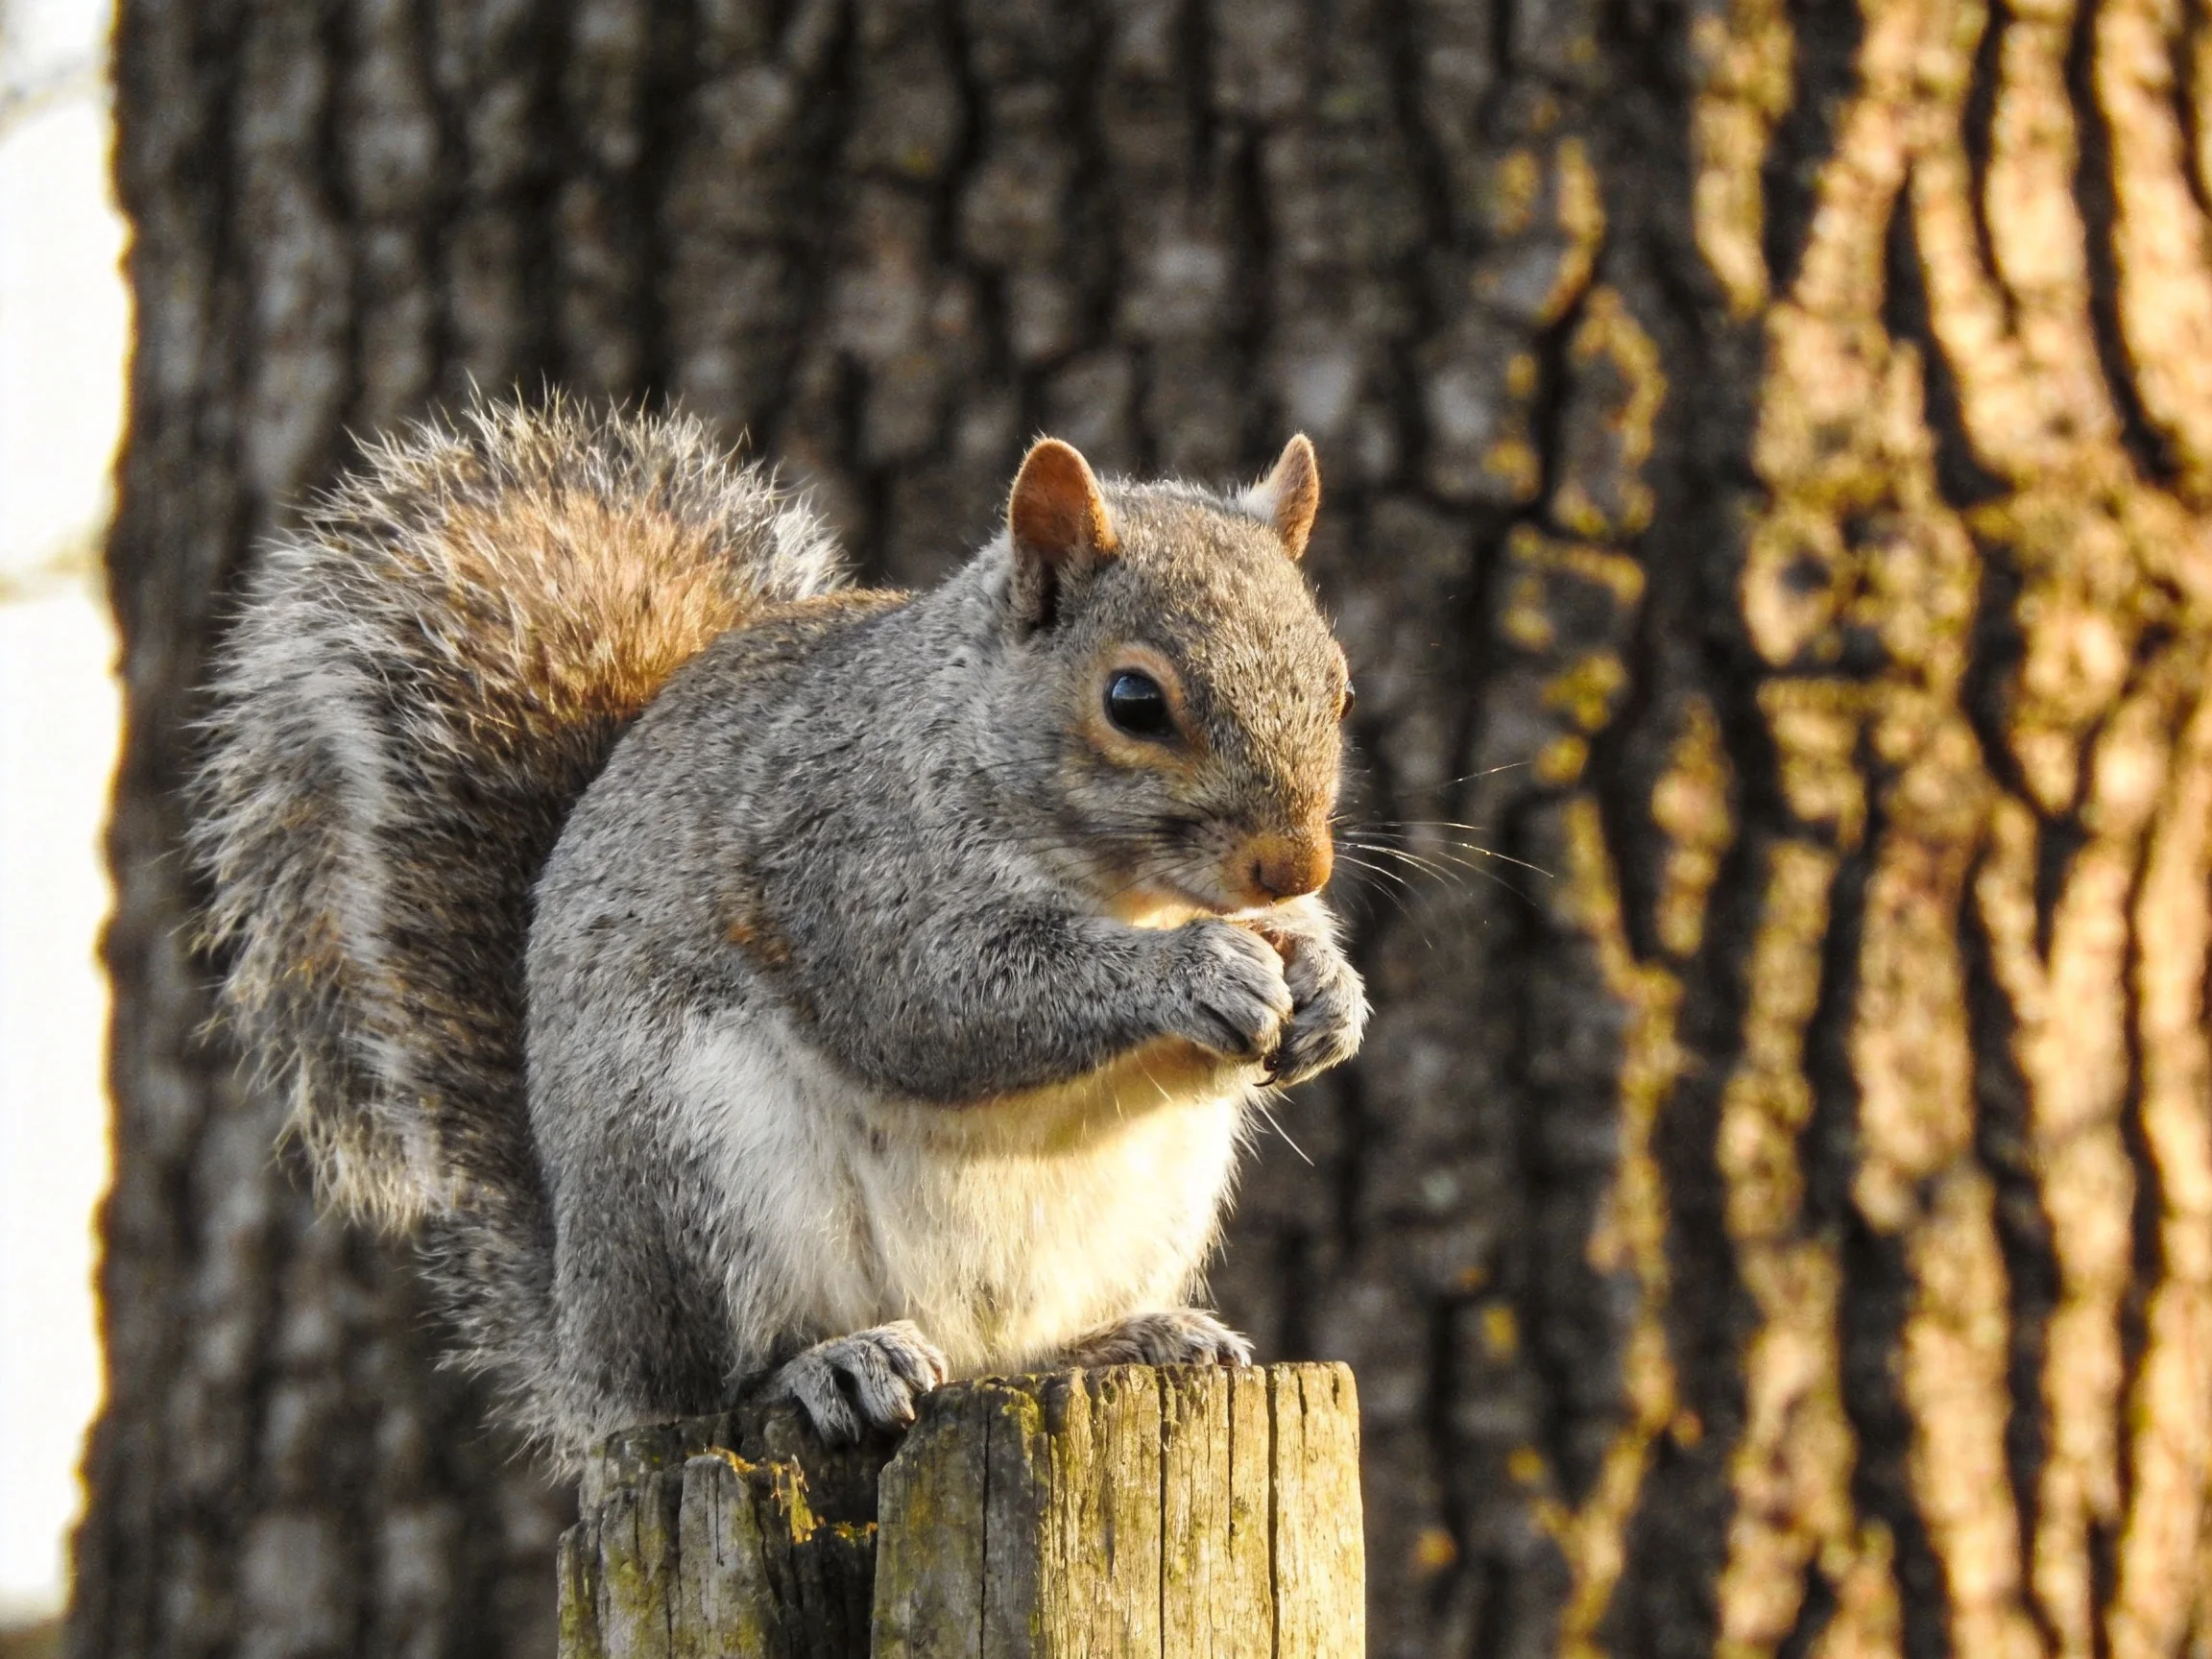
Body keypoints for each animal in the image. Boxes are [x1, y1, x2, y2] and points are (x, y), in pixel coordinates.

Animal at [192, 398, 1368, 1466]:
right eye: (1132, 700)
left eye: (1341, 685)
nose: (1295, 866)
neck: (1126, 890)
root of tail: (587, 1351)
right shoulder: (849, 869)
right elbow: (946, 1006)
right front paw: (1194, 971)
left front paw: (1327, 988)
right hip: (694, 1165)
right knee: (718, 1378)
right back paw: (831, 1364)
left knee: (1015, 1353)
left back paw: (1130, 1338)